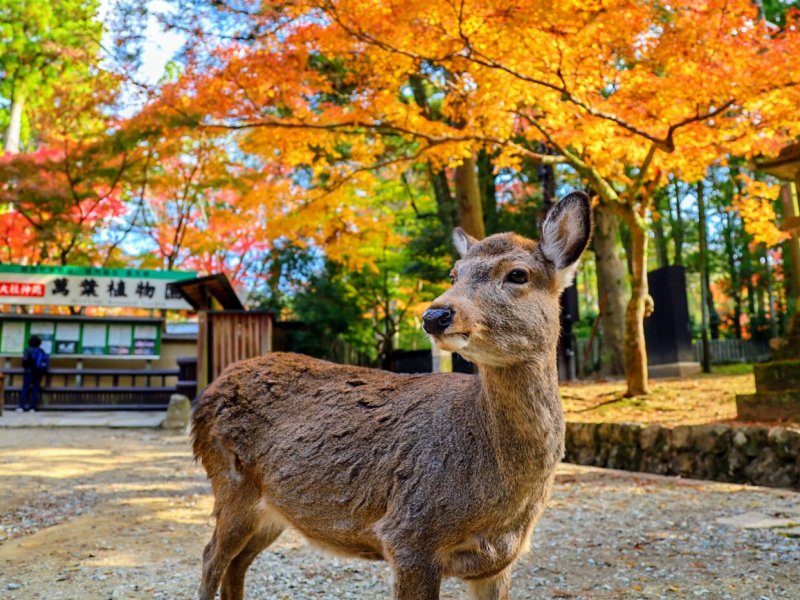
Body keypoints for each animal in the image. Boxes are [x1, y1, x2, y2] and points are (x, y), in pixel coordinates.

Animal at [192, 192, 592, 600]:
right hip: (231, 483)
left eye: (518, 274)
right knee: (210, 557)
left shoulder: (498, 560)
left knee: (237, 564)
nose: (435, 315)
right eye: (454, 274)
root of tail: (209, 392)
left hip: (272, 510)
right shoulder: (409, 532)